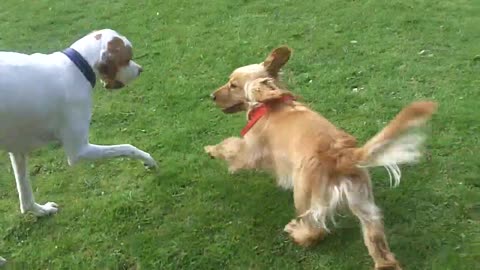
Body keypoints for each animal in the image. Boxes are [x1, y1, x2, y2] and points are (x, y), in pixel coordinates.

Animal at [0, 29, 158, 266]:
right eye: (127, 58)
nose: (140, 69)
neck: (76, 66)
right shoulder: (79, 151)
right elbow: (128, 147)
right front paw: (148, 160)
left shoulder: (18, 150)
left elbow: (26, 199)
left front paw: (41, 211)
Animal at [204, 47, 436, 270]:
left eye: (233, 85)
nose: (212, 96)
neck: (271, 103)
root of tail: (342, 155)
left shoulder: (249, 151)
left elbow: (230, 146)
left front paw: (211, 149)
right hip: (364, 204)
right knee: (379, 246)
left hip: (304, 195)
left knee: (315, 230)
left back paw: (296, 232)